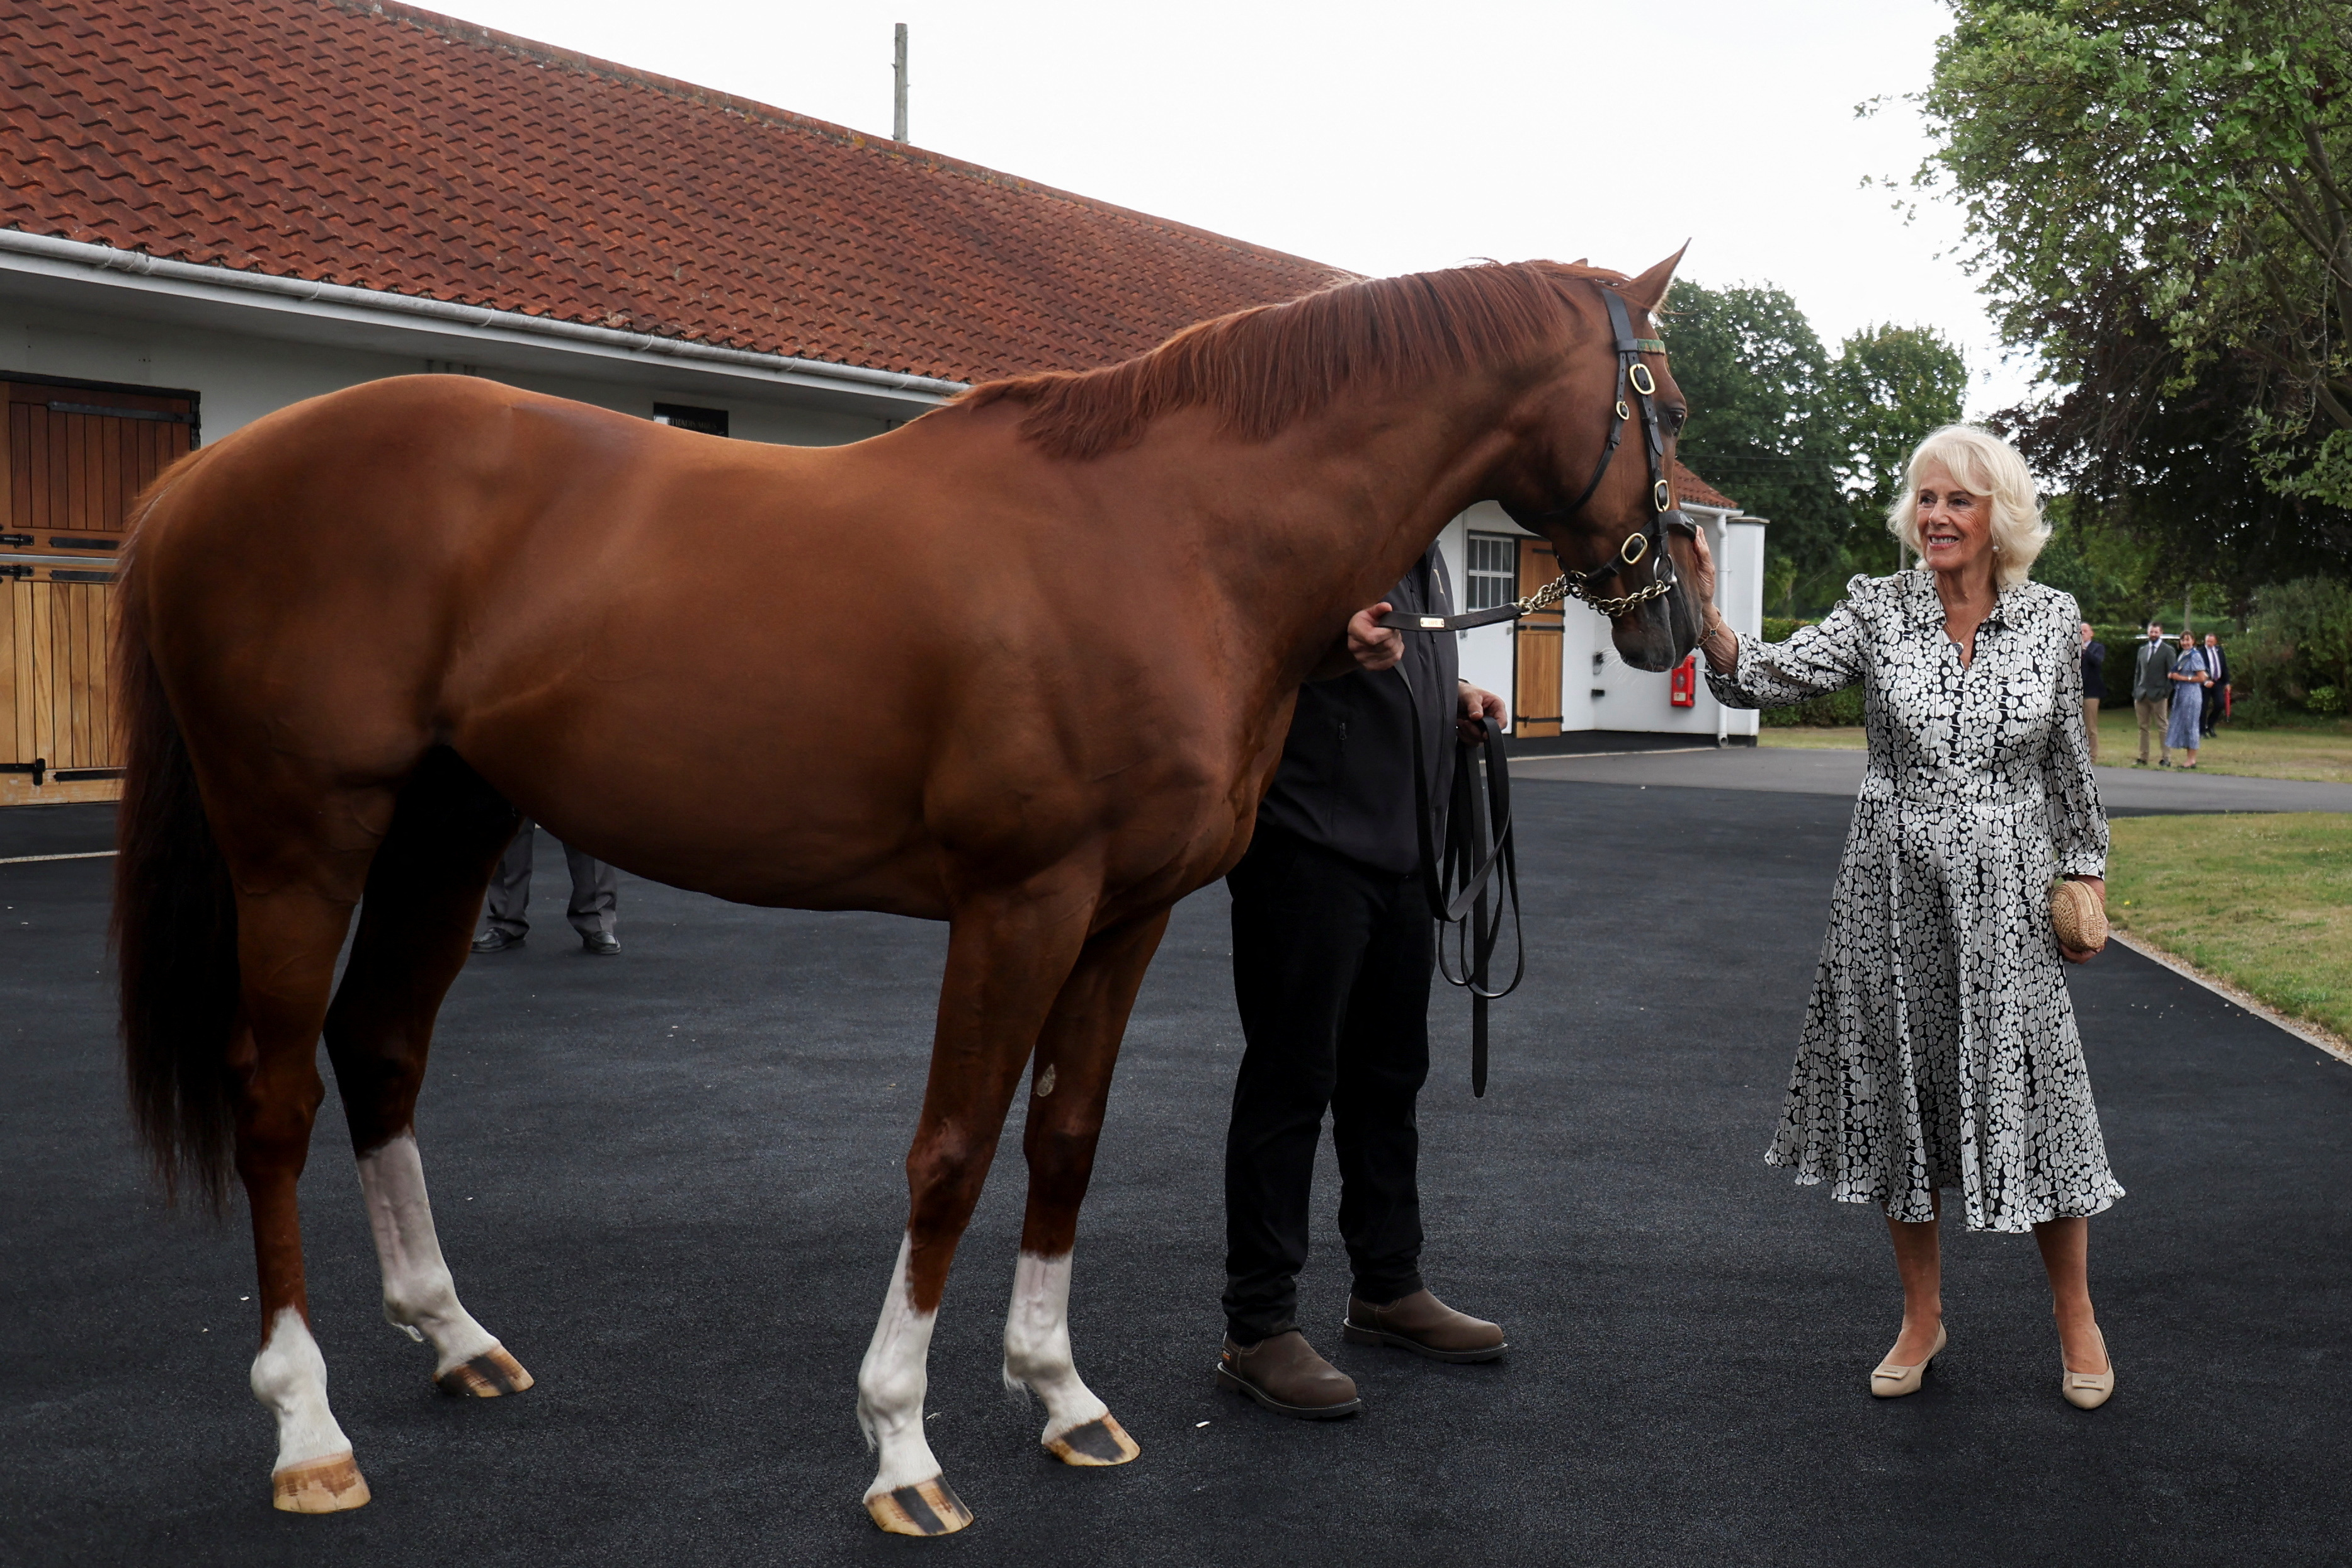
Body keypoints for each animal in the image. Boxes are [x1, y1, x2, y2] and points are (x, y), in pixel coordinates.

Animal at [110, 250, 1701, 1534]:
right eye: (1670, 409)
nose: (1678, 622)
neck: (1165, 531)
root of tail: (201, 480)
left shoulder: (1124, 917)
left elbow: (1062, 1139)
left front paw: (1062, 1400)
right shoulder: (1020, 903)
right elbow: (951, 1151)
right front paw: (902, 1448)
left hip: (447, 828)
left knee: (380, 1047)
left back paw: (452, 1337)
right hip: (302, 844)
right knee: (273, 1099)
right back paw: (309, 1431)